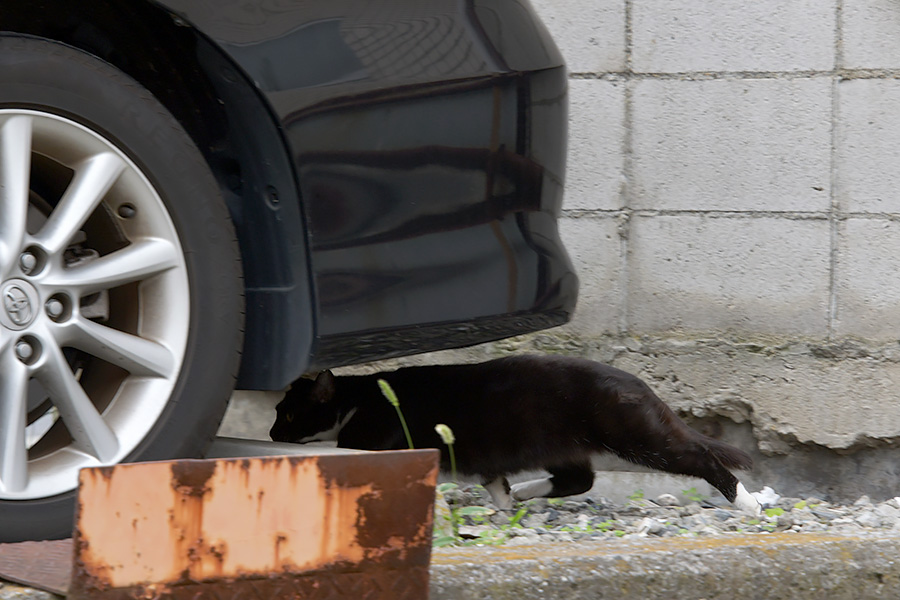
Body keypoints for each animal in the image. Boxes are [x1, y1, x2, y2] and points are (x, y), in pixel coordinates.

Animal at [272, 354, 760, 512]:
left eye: (288, 415)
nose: (273, 432)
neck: (360, 397)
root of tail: (640, 384)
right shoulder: (482, 455)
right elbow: (492, 478)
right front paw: (504, 505)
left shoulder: (377, 442)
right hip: (563, 442)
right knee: (579, 479)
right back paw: (525, 492)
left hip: (634, 435)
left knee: (699, 458)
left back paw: (748, 503)